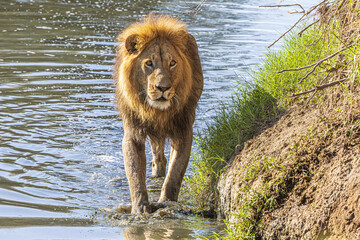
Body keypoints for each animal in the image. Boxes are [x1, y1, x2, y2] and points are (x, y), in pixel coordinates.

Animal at [115, 15, 205, 214]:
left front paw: (167, 202)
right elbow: (134, 174)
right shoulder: (133, 132)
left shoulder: (183, 130)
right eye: (149, 63)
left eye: (172, 63)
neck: (157, 112)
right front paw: (140, 208)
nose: (163, 88)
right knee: (158, 156)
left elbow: (175, 172)